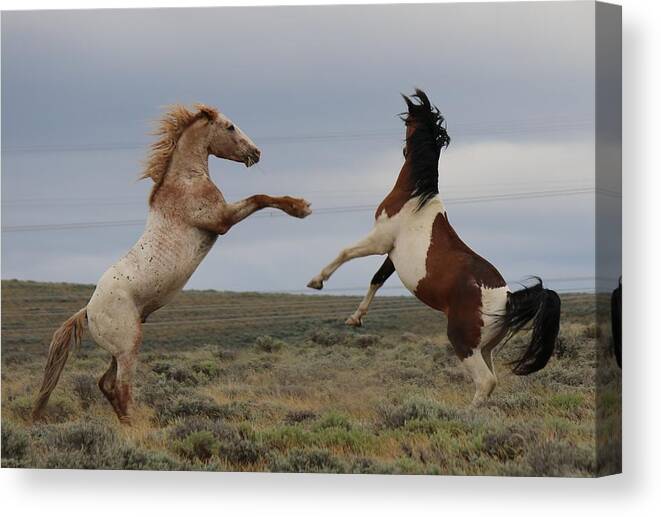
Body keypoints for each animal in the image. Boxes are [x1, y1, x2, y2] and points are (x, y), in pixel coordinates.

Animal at [34, 104, 314, 424]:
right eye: (230, 126)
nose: (256, 152)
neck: (185, 181)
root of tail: (88, 312)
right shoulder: (221, 219)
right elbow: (259, 197)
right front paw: (300, 208)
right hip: (129, 347)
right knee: (121, 388)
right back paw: (138, 427)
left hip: (119, 350)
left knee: (105, 384)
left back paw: (128, 425)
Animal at [306, 90, 560, 406]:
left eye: (409, 121)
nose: (404, 149)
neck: (416, 198)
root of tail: (508, 298)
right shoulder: (392, 255)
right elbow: (376, 280)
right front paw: (355, 318)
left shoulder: (380, 239)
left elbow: (345, 252)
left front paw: (316, 282)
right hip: (486, 348)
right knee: (493, 380)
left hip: (463, 343)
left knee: (486, 381)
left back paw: (467, 412)